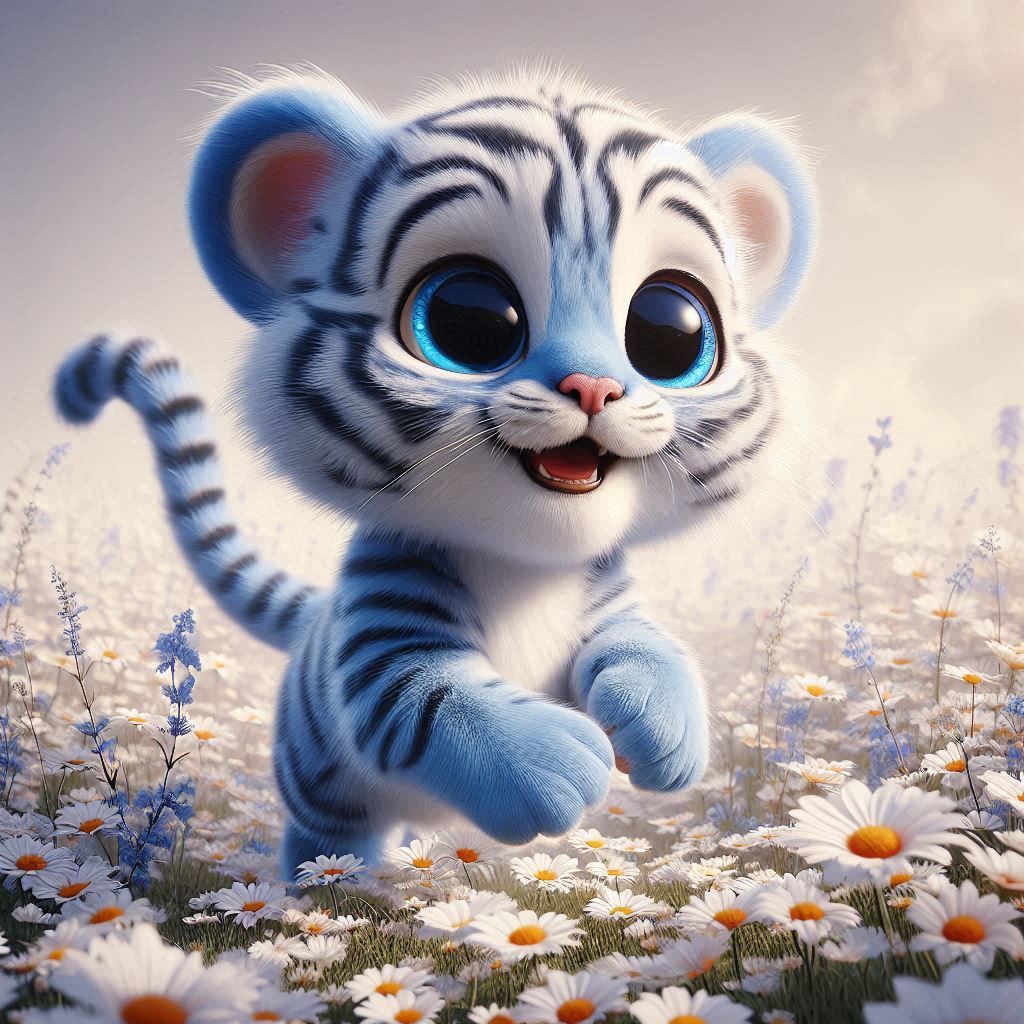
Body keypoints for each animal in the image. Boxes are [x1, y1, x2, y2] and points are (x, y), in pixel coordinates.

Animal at [54, 66, 816, 875]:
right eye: (467, 318)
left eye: (669, 332)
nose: (594, 387)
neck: (529, 569)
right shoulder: (382, 639)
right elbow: (436, 701)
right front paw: (554, 764)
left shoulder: (609, 600)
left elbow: (648, 645)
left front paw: (663, 727)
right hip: (319, 785)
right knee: (330, 838)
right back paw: (330, 887)